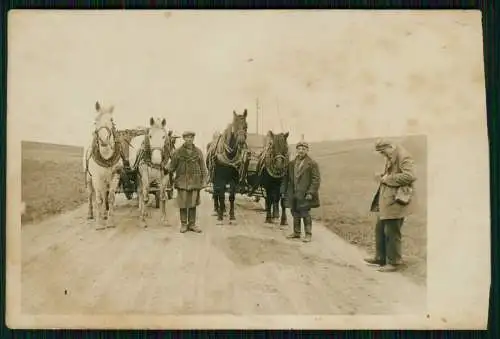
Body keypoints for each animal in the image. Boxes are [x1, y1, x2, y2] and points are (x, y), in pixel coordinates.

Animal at [83, 101, 123, 231]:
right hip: (88, 178)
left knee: (105, 192)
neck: (106, 157)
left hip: (106, 179)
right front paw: (99, 224)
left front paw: (110, 222)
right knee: (90, 195)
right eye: (96, 120)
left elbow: (110, 198)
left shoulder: (115, 176)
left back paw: (105, 214)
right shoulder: (96, 178)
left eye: (111, 119)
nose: (104, 139)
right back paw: (90, 214)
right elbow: (99, 199)